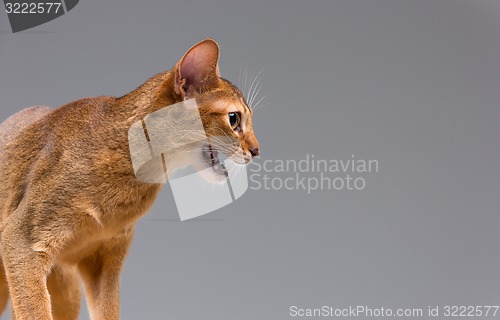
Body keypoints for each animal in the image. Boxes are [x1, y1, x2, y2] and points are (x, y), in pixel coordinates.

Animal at [0, 39, 260, 320]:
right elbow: (34, 311)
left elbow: (108, 310)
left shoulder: (107, 258)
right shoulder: (21, 241)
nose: (257, 150)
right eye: (234, 119)